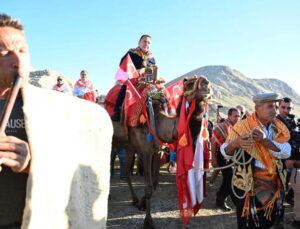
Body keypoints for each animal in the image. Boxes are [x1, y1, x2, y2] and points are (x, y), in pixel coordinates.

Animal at [107, 74, 211, 227]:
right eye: (190, 84)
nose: (207, 84)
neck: (159, 121)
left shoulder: (156, 151)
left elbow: (154, 184)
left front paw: (142, 203)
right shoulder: (145, 152)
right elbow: (149, 187)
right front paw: (148, 221)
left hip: (128, 147)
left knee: (126, 172)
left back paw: (134, 200)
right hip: (112, 142)